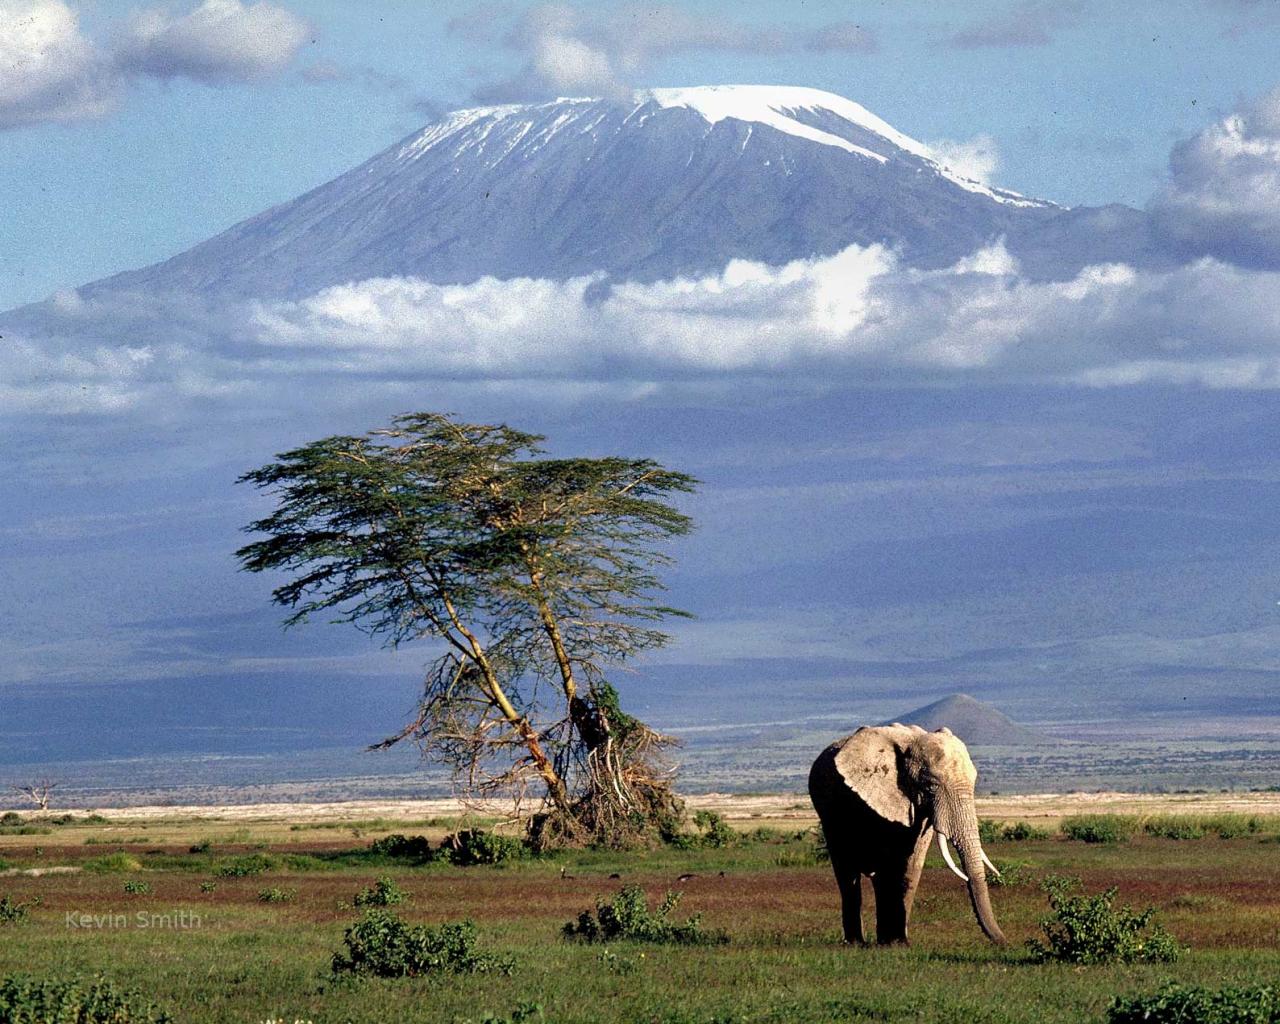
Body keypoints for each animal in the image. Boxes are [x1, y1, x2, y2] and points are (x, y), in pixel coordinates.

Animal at [808, 721, 1008, 947]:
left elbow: (912, 862)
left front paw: (899, 943)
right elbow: (889, 862)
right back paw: (856, 943)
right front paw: (894, 943)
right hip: (828, 811)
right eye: (931, 786)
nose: (1004, 942)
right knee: (846, 870)